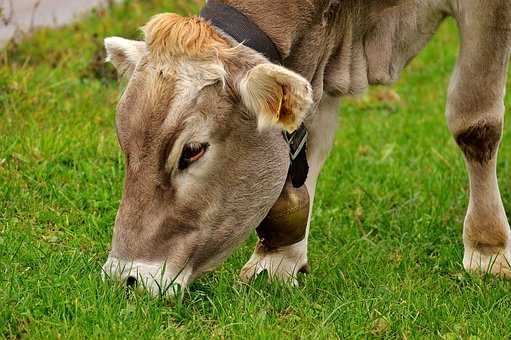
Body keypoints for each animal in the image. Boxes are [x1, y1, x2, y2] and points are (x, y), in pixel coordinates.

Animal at [101, 0, 511, 296]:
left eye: (193, 150)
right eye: (124, 142)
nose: (125, 278)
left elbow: (474, 122)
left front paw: (487, 250)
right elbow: (309, 139)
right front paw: (278, 260)